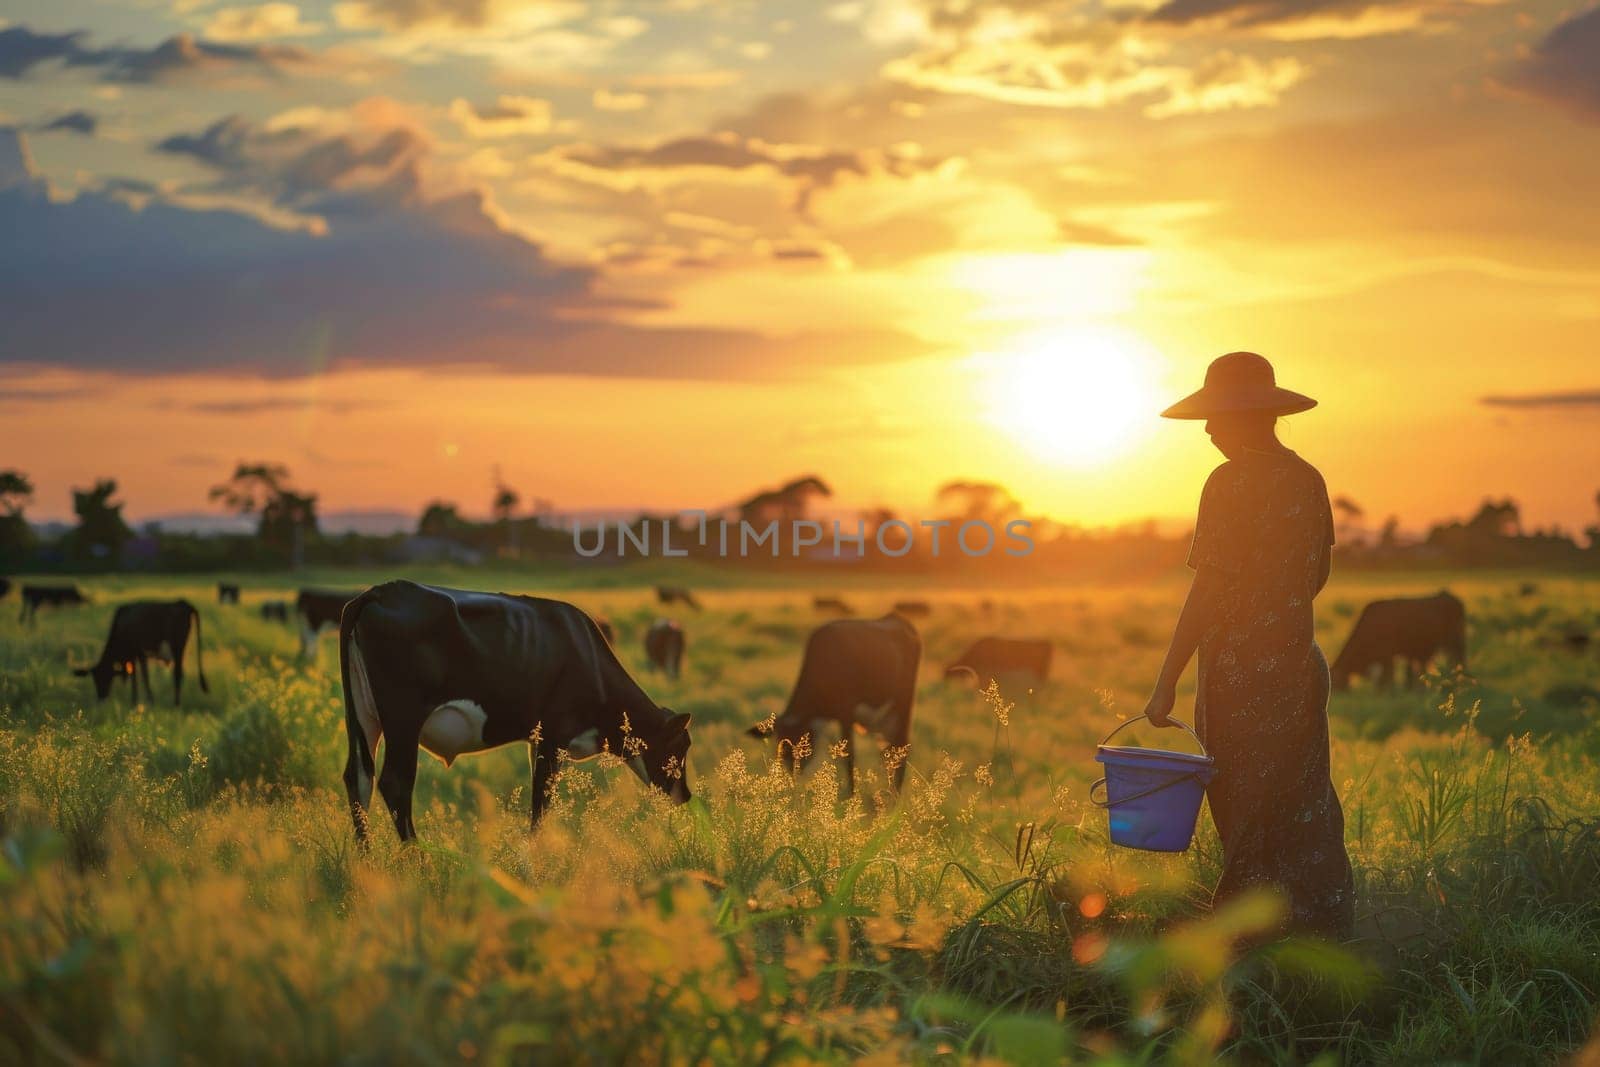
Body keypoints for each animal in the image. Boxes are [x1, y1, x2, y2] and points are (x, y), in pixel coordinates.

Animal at [75, 601, 209, 710]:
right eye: (95, 679)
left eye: (105, 677)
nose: (101, 698)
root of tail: (183, 603)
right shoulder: (138, 655)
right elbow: (139, 676)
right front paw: (143, 701)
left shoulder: (136, 652)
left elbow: (139, 677)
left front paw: (139, 702)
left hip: (177, 646)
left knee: (177, 673)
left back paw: (176, 705)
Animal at [334, 585, 691, 844]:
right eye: (680, 747)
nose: (685, 796)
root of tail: (381, 591)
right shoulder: (553, 735)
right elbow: (542, 801)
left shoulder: (537, 739)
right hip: (403, 720)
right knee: (395, 781)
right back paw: (418, 857)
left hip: (362, 715)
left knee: (359, 777)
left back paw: (367, 862)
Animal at [745, 614, 921, 796]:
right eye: (780, 743)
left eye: (800, 742)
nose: (794, 772)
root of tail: (896, 619)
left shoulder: (846, 713)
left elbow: (848, 755)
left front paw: (850, 794)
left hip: (903, 707)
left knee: (901, 748)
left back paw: (895, 794)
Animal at [1331, 591, 1465, 694]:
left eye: (1334, 683)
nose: (1338, 695)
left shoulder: (1387, 655)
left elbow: (1388, 676)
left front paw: (1389, 692)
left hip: (1455, 641)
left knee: (1459, 659)